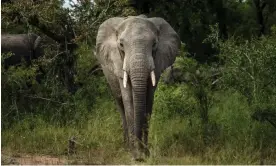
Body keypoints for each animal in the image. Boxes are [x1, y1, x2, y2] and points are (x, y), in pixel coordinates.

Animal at [95, 14, 181, 160]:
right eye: (121, 45)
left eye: (154, 44)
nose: (139, 155)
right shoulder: (118, 63)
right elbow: (128, 101)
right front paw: (134, 155)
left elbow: (148, 101)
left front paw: (145, 154)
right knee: (120, 105)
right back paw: (125, 148)